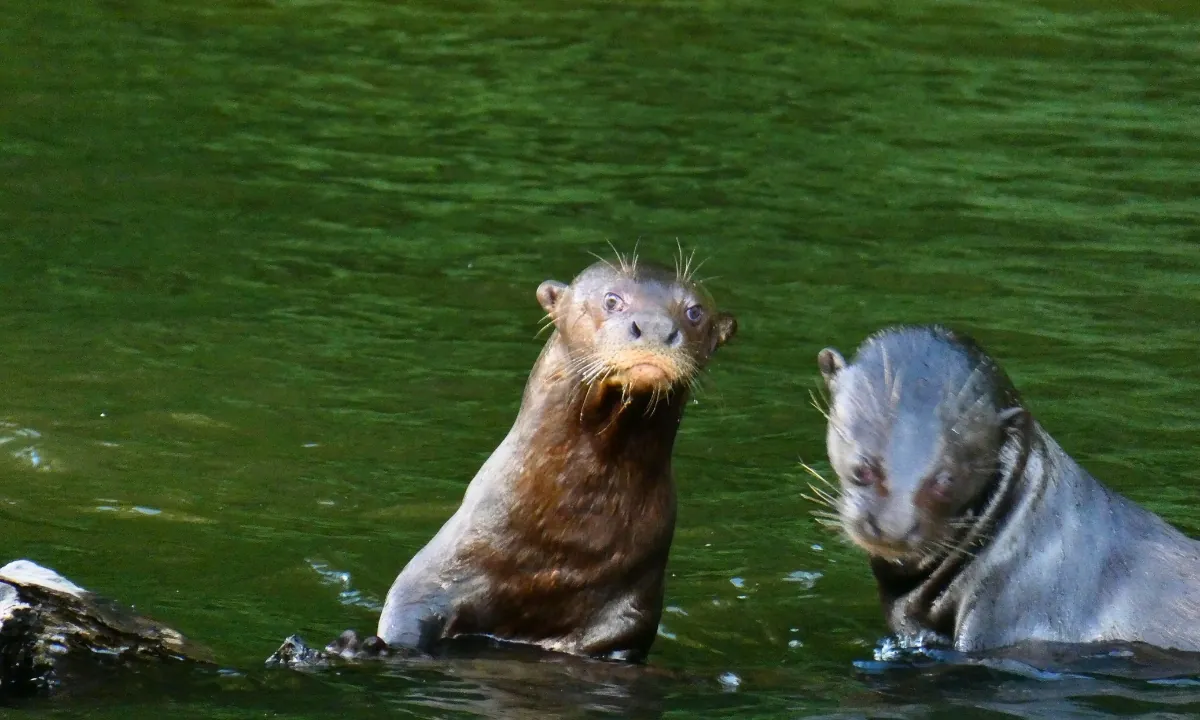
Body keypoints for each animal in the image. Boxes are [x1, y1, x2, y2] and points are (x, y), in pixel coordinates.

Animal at [274, 252, 736, 665]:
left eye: (694, 312)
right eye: (611, 299)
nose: (656, 327)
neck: (570, 529)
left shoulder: (624, 613)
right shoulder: (437, 575)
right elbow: (407, 610)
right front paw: (359, 645)